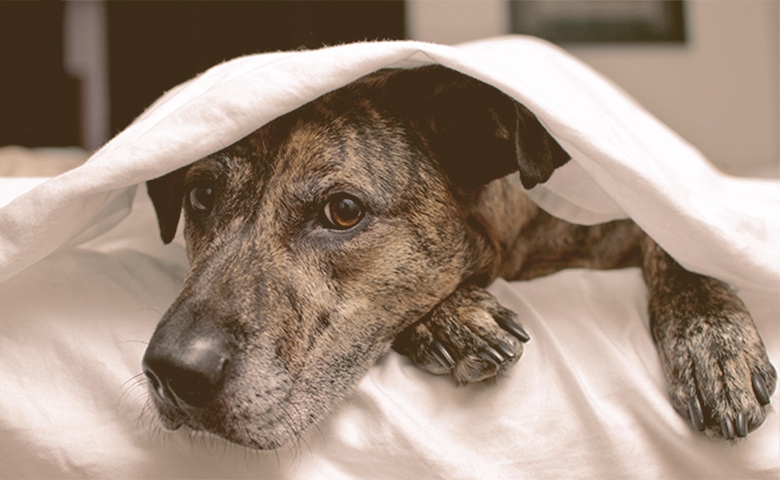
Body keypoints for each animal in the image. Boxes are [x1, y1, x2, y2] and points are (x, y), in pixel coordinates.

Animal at [143, 64, 776, 450]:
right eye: (201, 196)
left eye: (343, 210)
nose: (175, 372)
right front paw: (452, 318)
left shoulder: (623, 212)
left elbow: (677, 244)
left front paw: (714, 342)